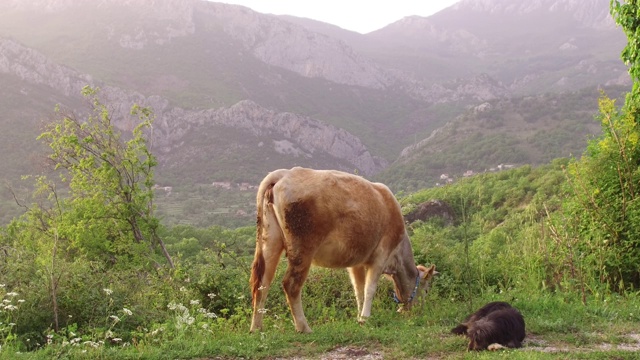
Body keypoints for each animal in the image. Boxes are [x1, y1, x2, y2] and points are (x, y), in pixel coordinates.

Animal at [248, 167, 438, 334]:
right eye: (426, 290)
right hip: (303, 248)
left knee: (262, 283)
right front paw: (366, 318)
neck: (396, 260)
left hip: (270, 241)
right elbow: (370, 289)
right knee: (291, 285)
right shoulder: (381, 255)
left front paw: (359, 317)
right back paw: (303, 327)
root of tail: (284, 173)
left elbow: (358, 290)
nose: (418, 311)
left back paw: (256, 328)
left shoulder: (357, 262)